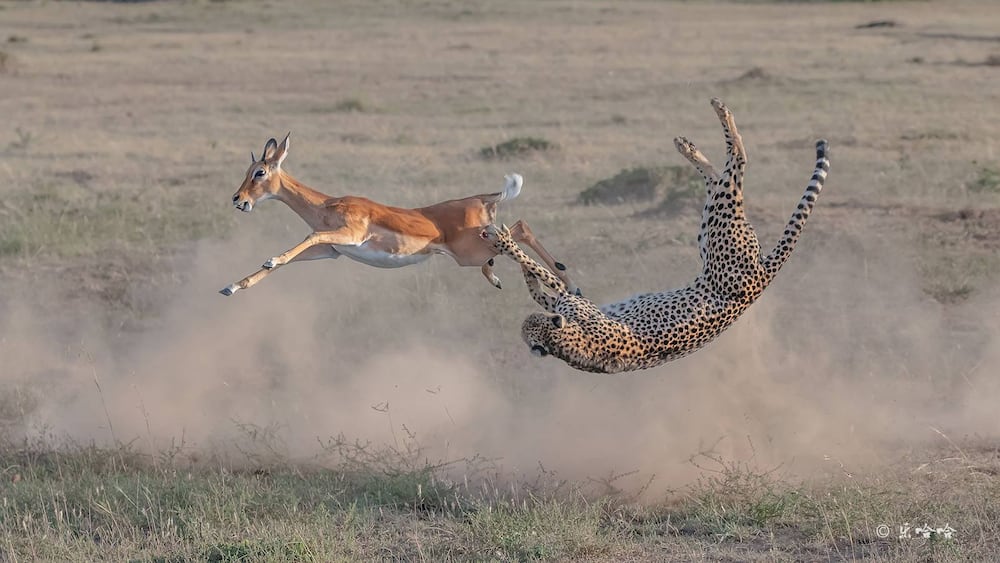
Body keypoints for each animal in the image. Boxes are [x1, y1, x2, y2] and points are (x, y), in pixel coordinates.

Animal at [482, 99, 828, 374]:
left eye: (530, 324)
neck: (570, 347)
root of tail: (763, 276)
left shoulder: (576, 303)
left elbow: (551, 278)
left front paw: (506, 244)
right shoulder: (574, 302)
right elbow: (548, 286)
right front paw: (524, 271)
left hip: (721, 229)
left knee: (737, 164)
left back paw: (716, 117)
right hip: (713, 228)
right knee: (723, 177)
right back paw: (690, 145)